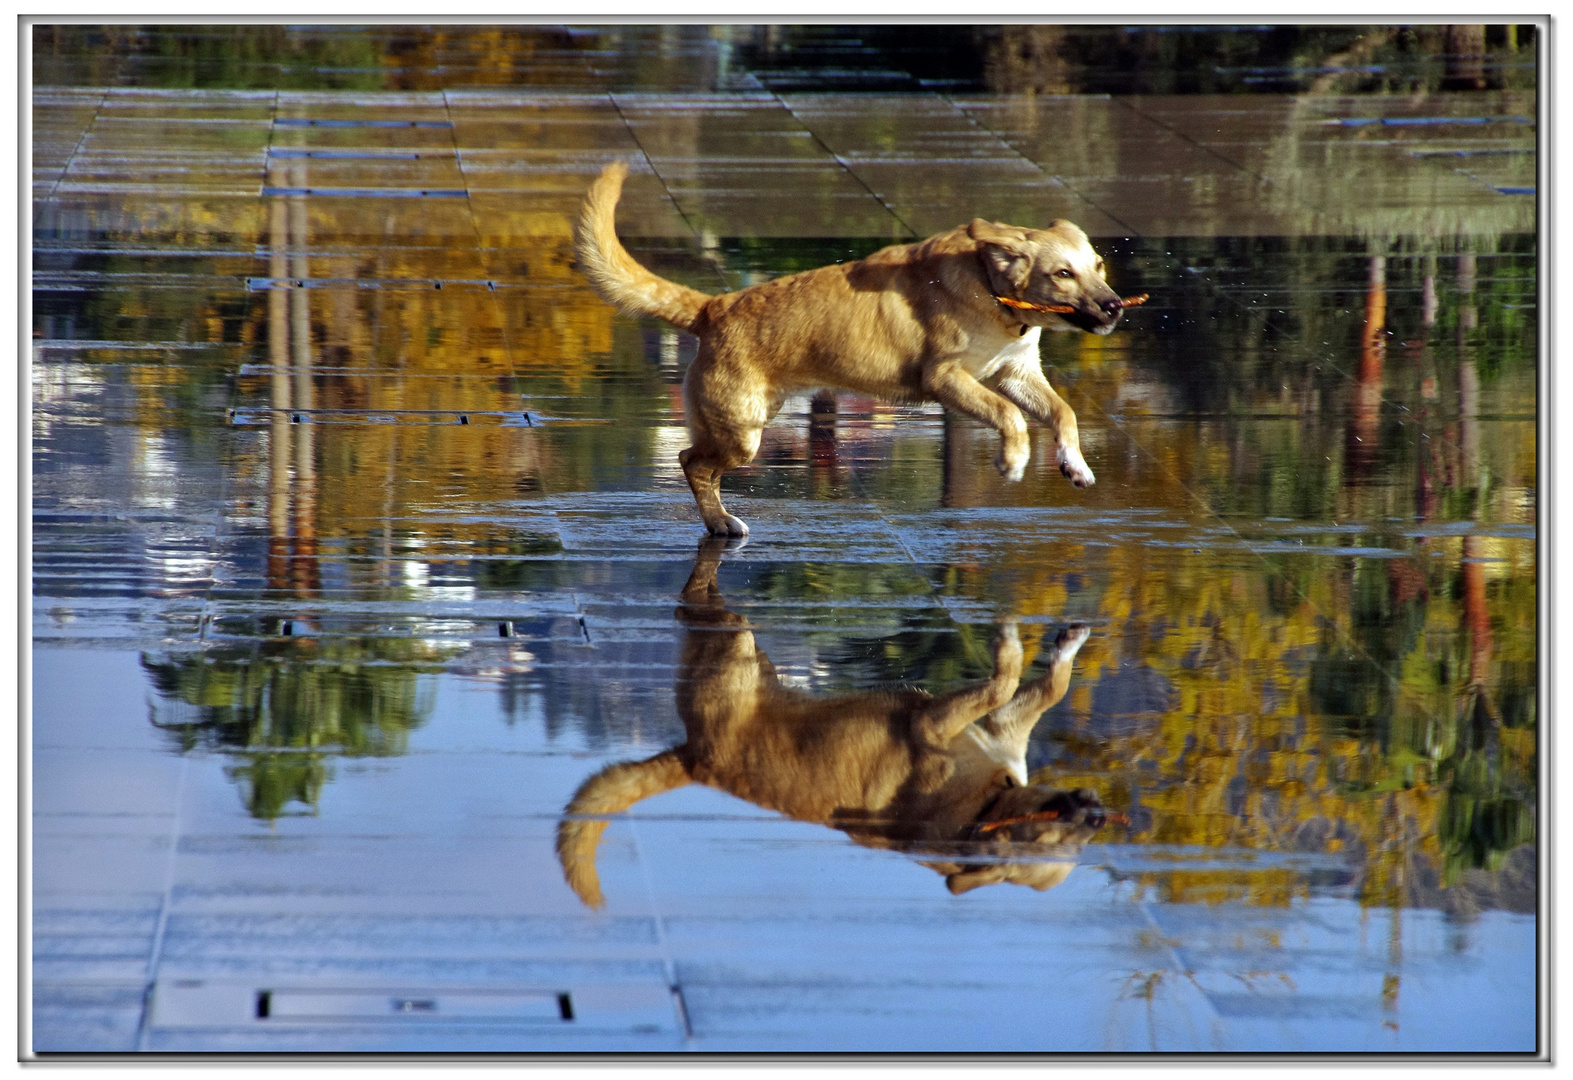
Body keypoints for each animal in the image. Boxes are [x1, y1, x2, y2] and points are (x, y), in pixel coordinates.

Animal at [575, 159, 1132, 537]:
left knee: (695, 461)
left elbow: (1063, 413)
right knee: (691, 461)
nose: (1114, 307)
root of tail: (714, 306)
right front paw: (1014, 461)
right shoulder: (946, 378)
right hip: (741, 432)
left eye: (1098, 266)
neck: (988, 284)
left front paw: (1076, 465)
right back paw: (720, 523)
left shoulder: (1017, 374)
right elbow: (1009, 416)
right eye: (1063, 274)